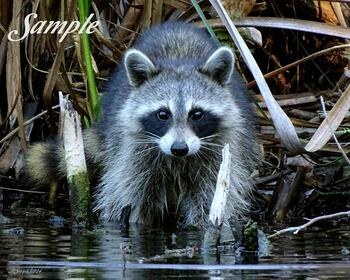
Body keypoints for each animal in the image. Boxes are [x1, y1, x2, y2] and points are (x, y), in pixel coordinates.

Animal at [26, 21, 258, 228]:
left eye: (197, 114)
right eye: (163, 114)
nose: (179, 148)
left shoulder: (221, 150)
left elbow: (211, 195)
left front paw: (206, 225)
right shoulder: (132, 151)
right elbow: (129, 195)